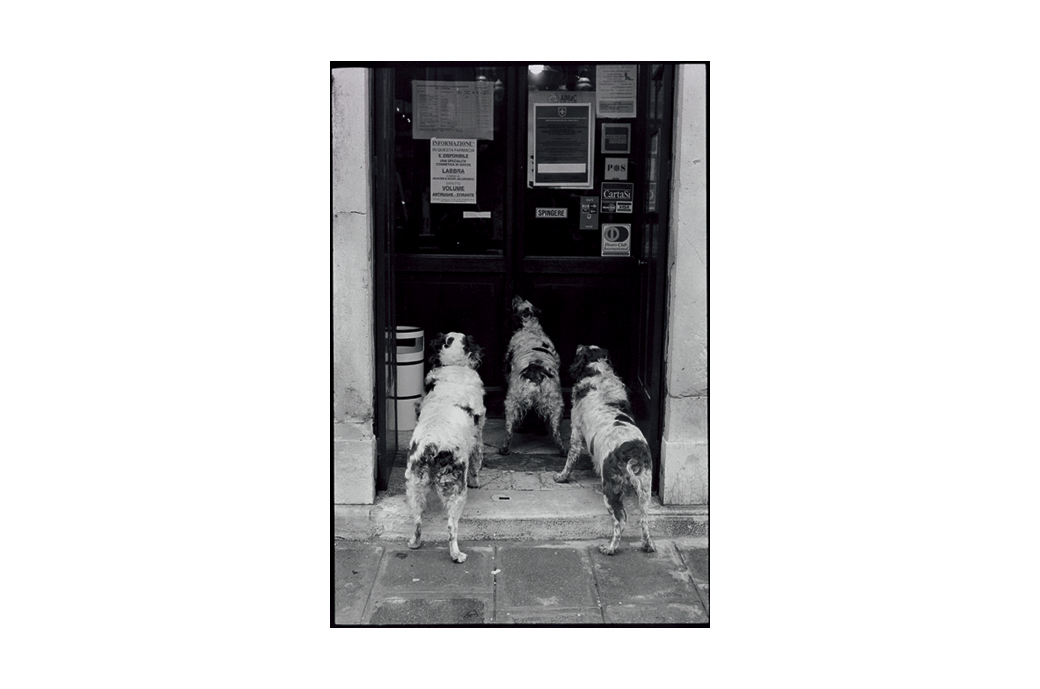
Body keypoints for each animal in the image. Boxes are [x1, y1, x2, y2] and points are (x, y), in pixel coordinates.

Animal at [404, 332, 486, 563]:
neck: (454, 366)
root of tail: (432, 445)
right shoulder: (478, 435)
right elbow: (477, 462)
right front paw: (476, 481)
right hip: (456, 489)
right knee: (451, 526)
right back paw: (456, 554)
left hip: (414, 485)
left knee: (417, 520)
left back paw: (415, 543)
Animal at [499, 296, 567, 456]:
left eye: (516, 304)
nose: (516, 295)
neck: (530, 327)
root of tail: (536, 372)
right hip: (556, 403)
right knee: (555, 430)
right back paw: (562, 451)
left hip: (512, 400)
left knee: (509, 429)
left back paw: (504, 449)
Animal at [554, 345, 655, 555]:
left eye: (581, 351)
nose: (577, 345)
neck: (599, 373)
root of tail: (633, 453)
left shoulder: (576, 429)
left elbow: (571, 458)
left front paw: (562, 477)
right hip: (645, 487)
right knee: (644, 519)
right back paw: (647, 545)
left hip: (610, 488)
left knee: (620, 520)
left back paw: (610, 548)